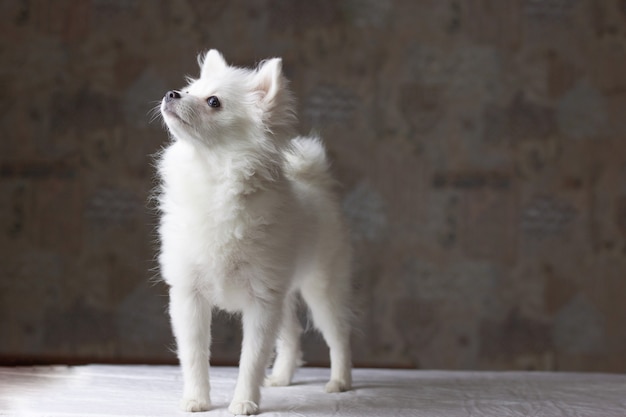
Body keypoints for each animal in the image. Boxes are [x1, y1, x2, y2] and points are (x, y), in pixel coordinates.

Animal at [156, 50, 352, 414]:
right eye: (189, 90)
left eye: (213, 101)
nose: (172, 93)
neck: (213, 178)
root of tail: (317, 184)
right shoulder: (191, 296)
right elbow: (194, 354)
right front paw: (197, 399)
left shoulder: (261, 302)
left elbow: (252, 358)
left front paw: (244, 402)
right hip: (284, 294)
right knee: (291, 334)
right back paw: (282, 377)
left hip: (321, 289)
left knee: (338, 334)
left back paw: (340, 381)